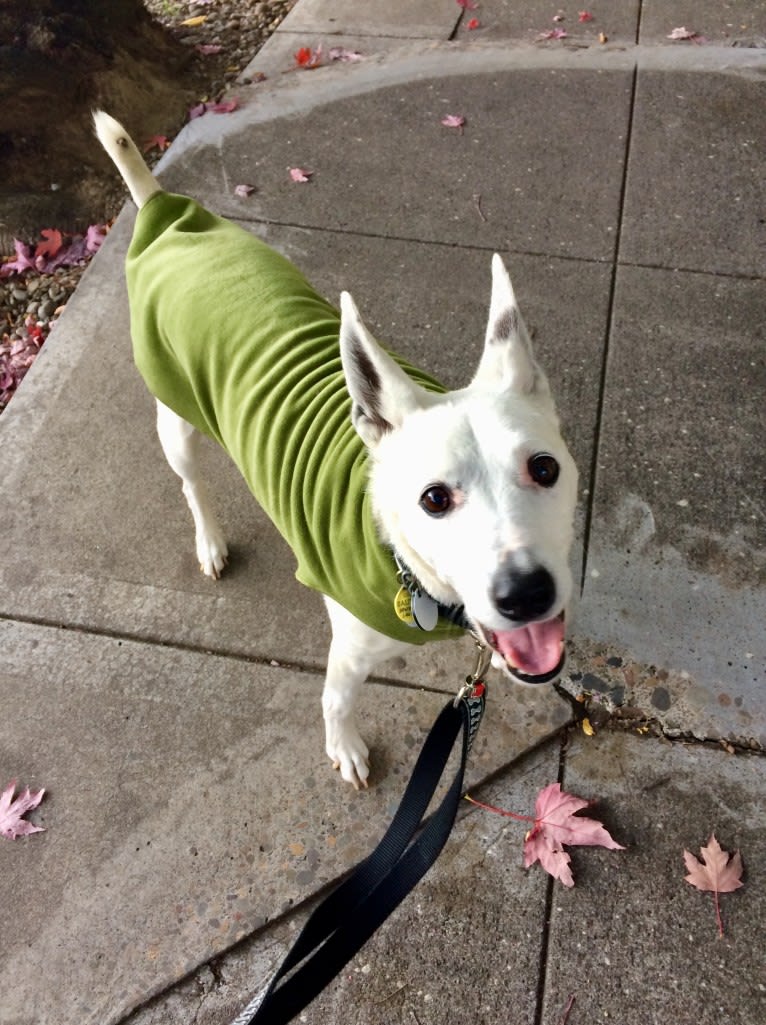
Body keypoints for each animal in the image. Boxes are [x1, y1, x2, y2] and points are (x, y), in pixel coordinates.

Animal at [94, 110, 574, 783]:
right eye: (433, 499)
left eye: (545, 468)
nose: (525, 593)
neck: (404, 565)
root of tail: (166, 212)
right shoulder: (349, 652)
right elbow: (335, 701)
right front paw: (344, 747)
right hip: (175, 417)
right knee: (192, 484)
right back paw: (210, 541)